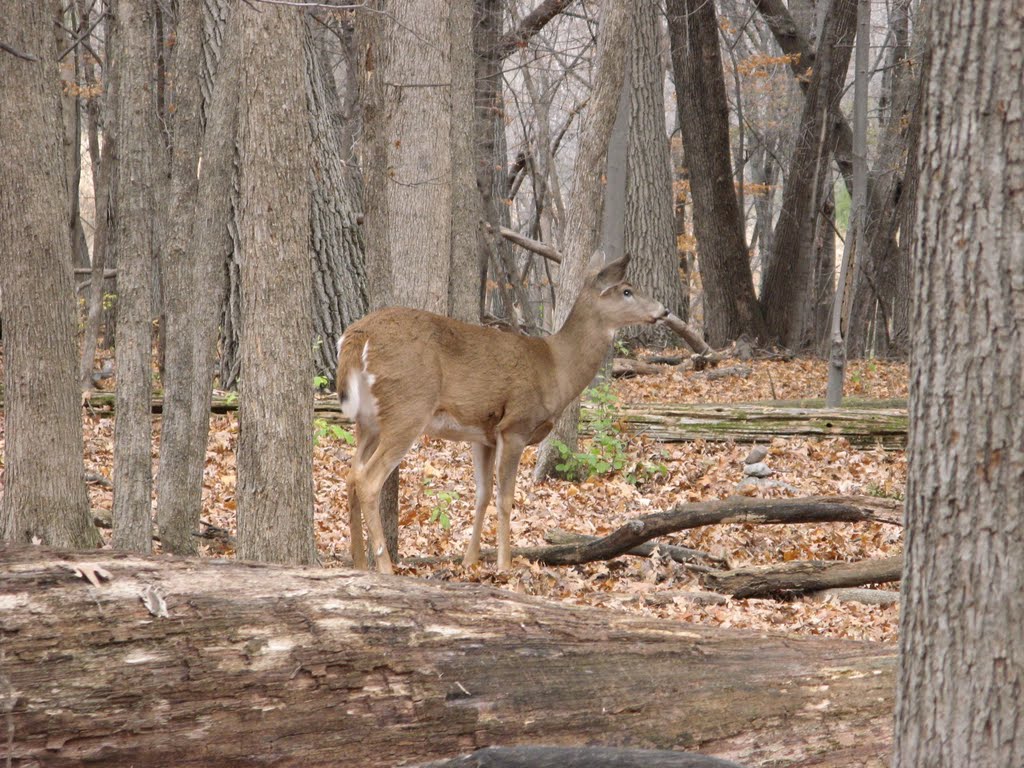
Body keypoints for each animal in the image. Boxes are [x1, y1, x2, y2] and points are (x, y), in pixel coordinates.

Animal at [335, 256, 667, 573]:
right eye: (627, 291)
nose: (663, 311)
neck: (556, 369)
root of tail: (357, 336)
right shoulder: (516, 425)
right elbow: (505, 498)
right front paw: (504, 564)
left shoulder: (483, 436)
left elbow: (482, 494)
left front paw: (470, 561)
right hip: (408, 407)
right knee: (368, 480)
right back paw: (385, 567)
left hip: (368, 420)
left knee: (351, 476)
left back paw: (359, 564)